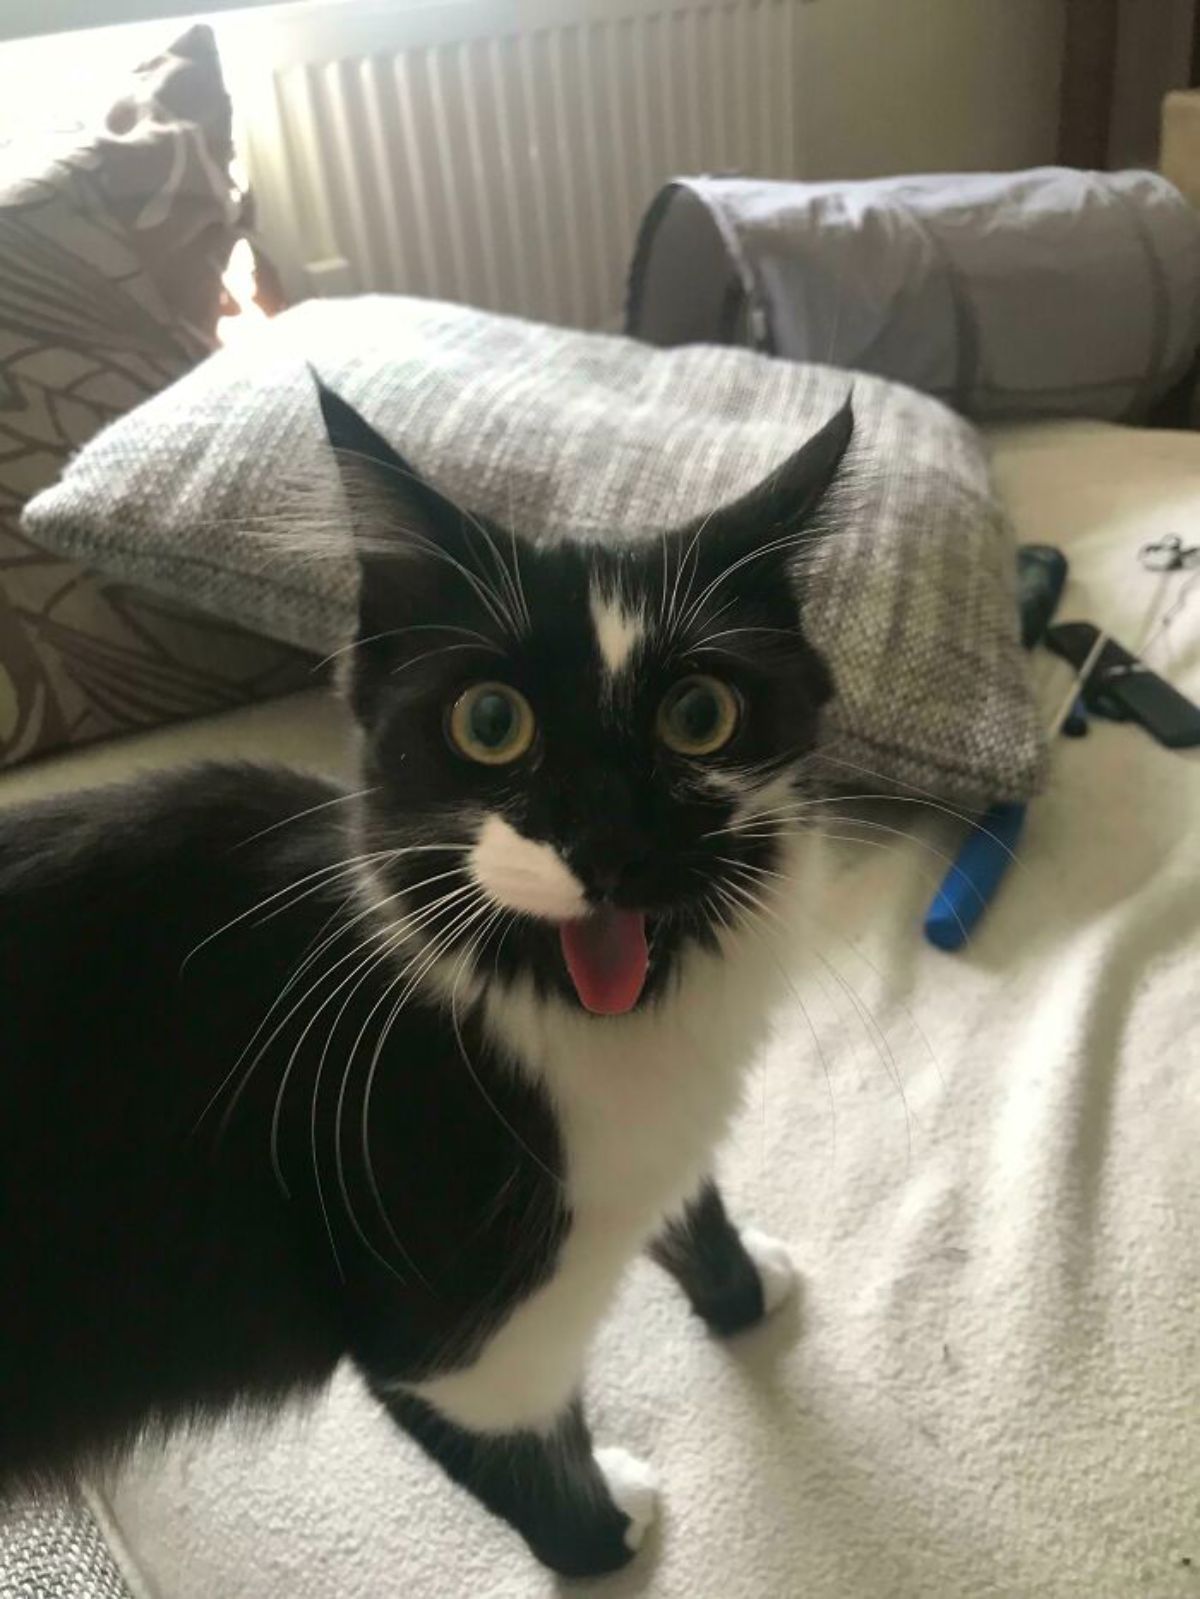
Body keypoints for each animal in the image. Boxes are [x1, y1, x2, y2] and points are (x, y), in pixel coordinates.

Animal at [0, 383, 857, 1573]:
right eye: (490, 722)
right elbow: (519, 1451)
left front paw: (739, 1286)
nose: (608, 842)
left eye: (700, 715)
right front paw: (604, 1538)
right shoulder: (445, 1332)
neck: (573, 1024)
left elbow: (693, 1196)